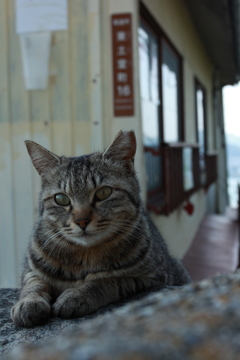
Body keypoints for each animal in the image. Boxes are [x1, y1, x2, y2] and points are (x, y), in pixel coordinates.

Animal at [11, 131, 190, 328]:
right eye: (61, 199)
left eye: (103, 193)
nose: (81, 221)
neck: (85, 255)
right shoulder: (30, 270)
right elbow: (33, 284)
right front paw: (28, 303)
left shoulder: (152, 277)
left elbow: (107, 281)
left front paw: (77, 295)